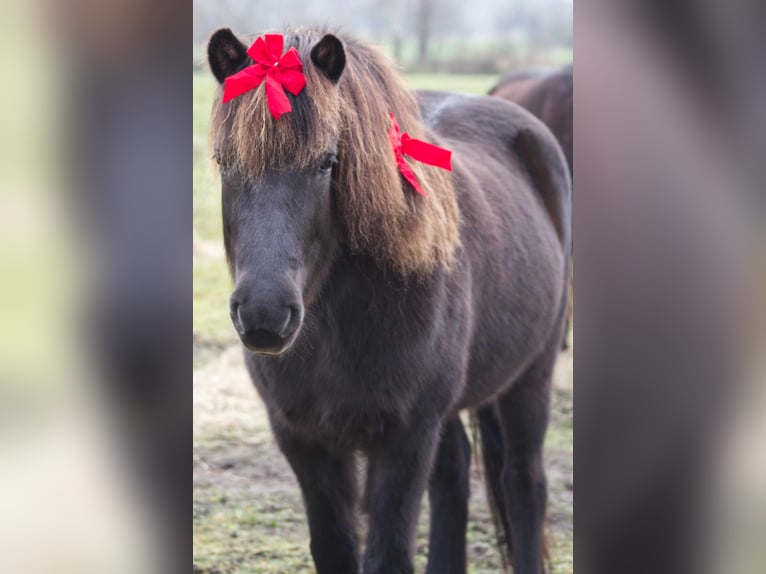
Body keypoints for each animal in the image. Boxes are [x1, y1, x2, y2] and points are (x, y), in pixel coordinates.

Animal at [207, 28, 572, 574]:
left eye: (328, 162)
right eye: (224, 161)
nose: (264, 316)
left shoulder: (405, 437)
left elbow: (388, 554)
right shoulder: (303, 439)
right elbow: (335, 548)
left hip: (532, 374)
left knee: (524, 482)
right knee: (454, 474)